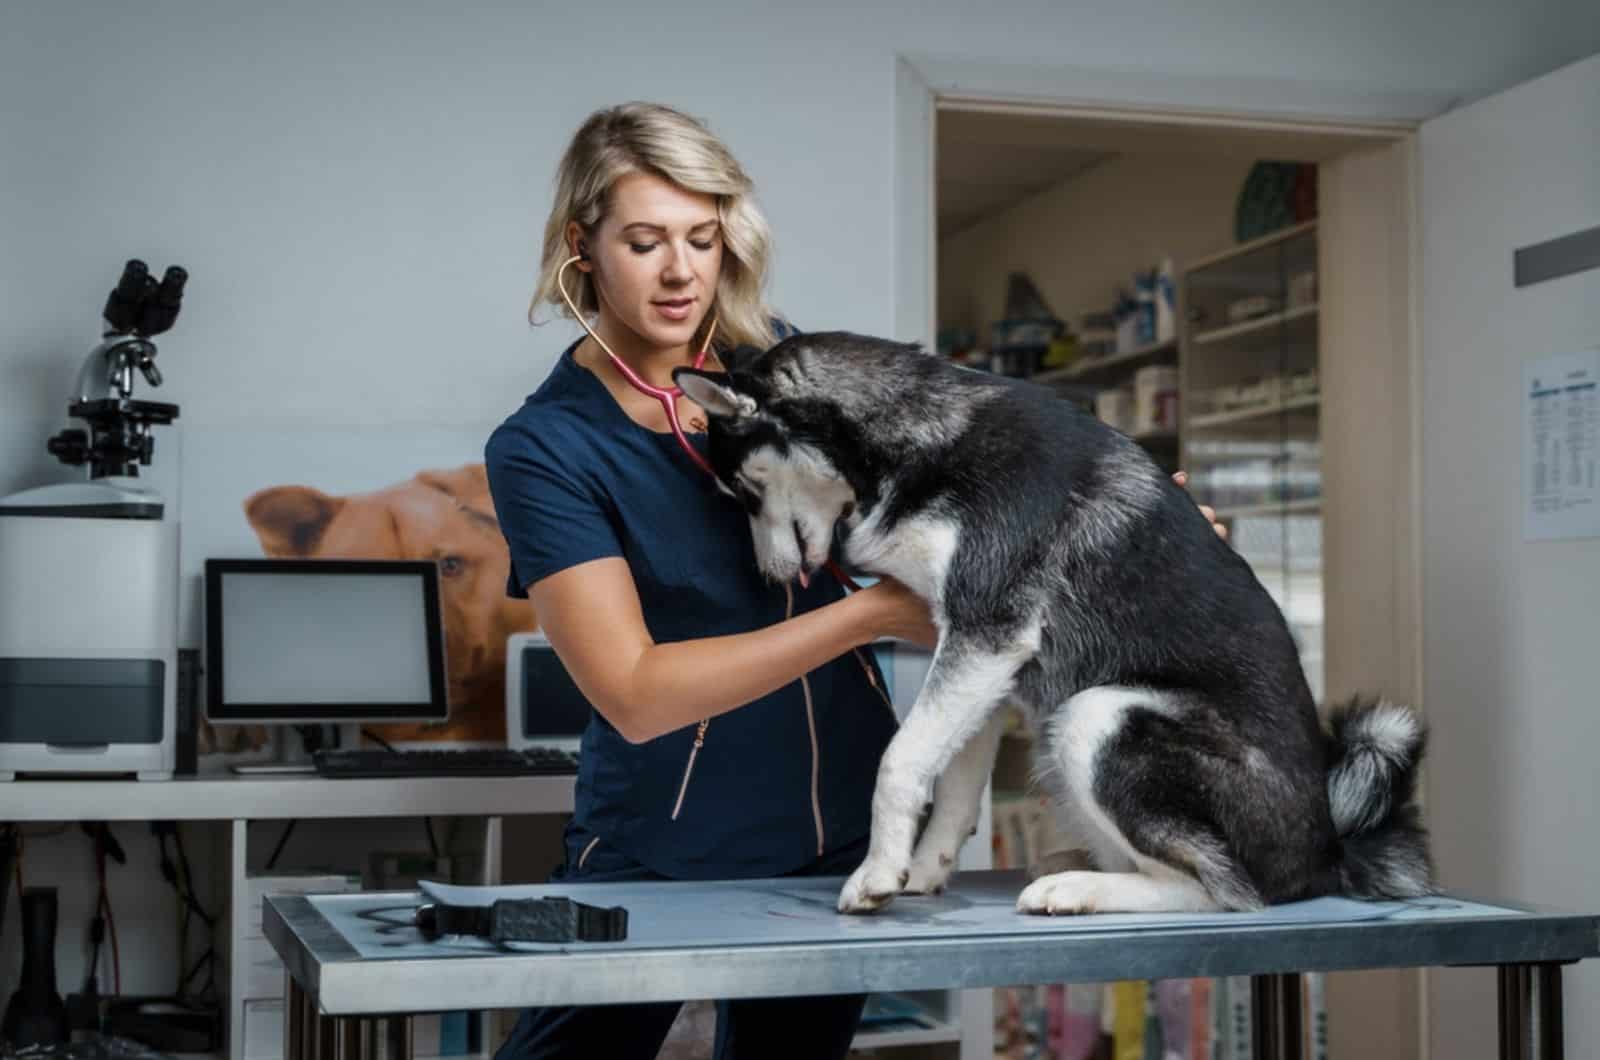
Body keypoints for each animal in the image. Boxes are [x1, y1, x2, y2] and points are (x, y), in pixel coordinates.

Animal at [668, 336, 1433, 915]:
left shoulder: (985, 631)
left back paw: (1078, 887)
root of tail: (1325, 853)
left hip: (1099, 714)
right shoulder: (982, 657)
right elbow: (952, 782)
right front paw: (924, 868)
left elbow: (901, 759)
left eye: (744, 490)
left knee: (1221, 888)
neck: (917, 439)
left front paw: (877, 873)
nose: (768, 578)